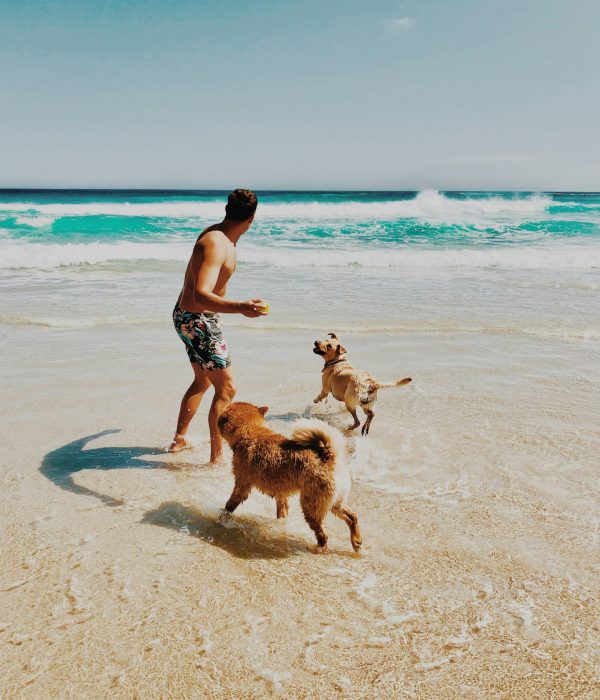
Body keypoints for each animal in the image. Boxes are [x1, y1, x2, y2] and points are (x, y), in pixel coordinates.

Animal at [219, 402, 360, 556]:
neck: (250, 432)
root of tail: (329, 457)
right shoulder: (281, 494)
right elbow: (282, 511)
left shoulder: (242, 485)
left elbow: (230, 504)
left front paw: (223, 516)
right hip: (334, 502)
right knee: (352, 517)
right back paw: (356, 542)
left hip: (311, 506)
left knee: (324, 534)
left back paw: (320, 548)